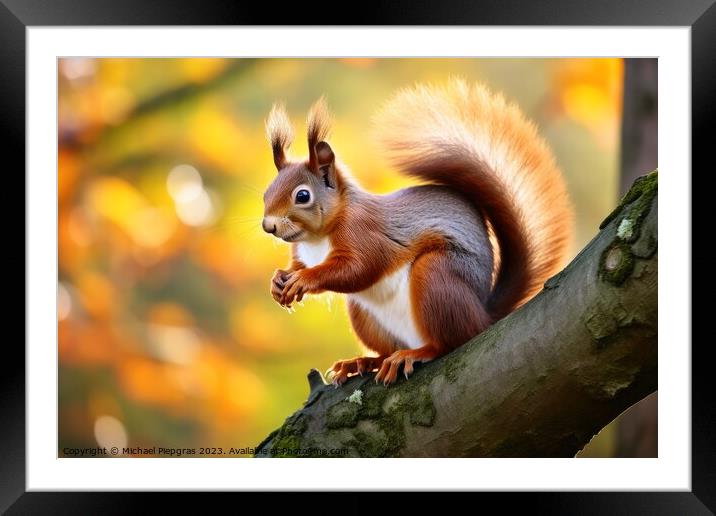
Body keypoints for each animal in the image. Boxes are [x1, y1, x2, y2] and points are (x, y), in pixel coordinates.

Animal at [260, 79, 572, 388]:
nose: (268, 226)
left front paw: (305, 279)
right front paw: (278, 281)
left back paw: (415, 354)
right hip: (365, 315)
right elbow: (299, 266)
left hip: (436, 277)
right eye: (266, 192)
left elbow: (359, 268)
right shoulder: (302, 252)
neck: (316, 238)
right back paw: (363, 362)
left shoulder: (364, 233)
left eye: (302, 195)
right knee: (386, 348)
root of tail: (484, 315)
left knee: (451, 341)